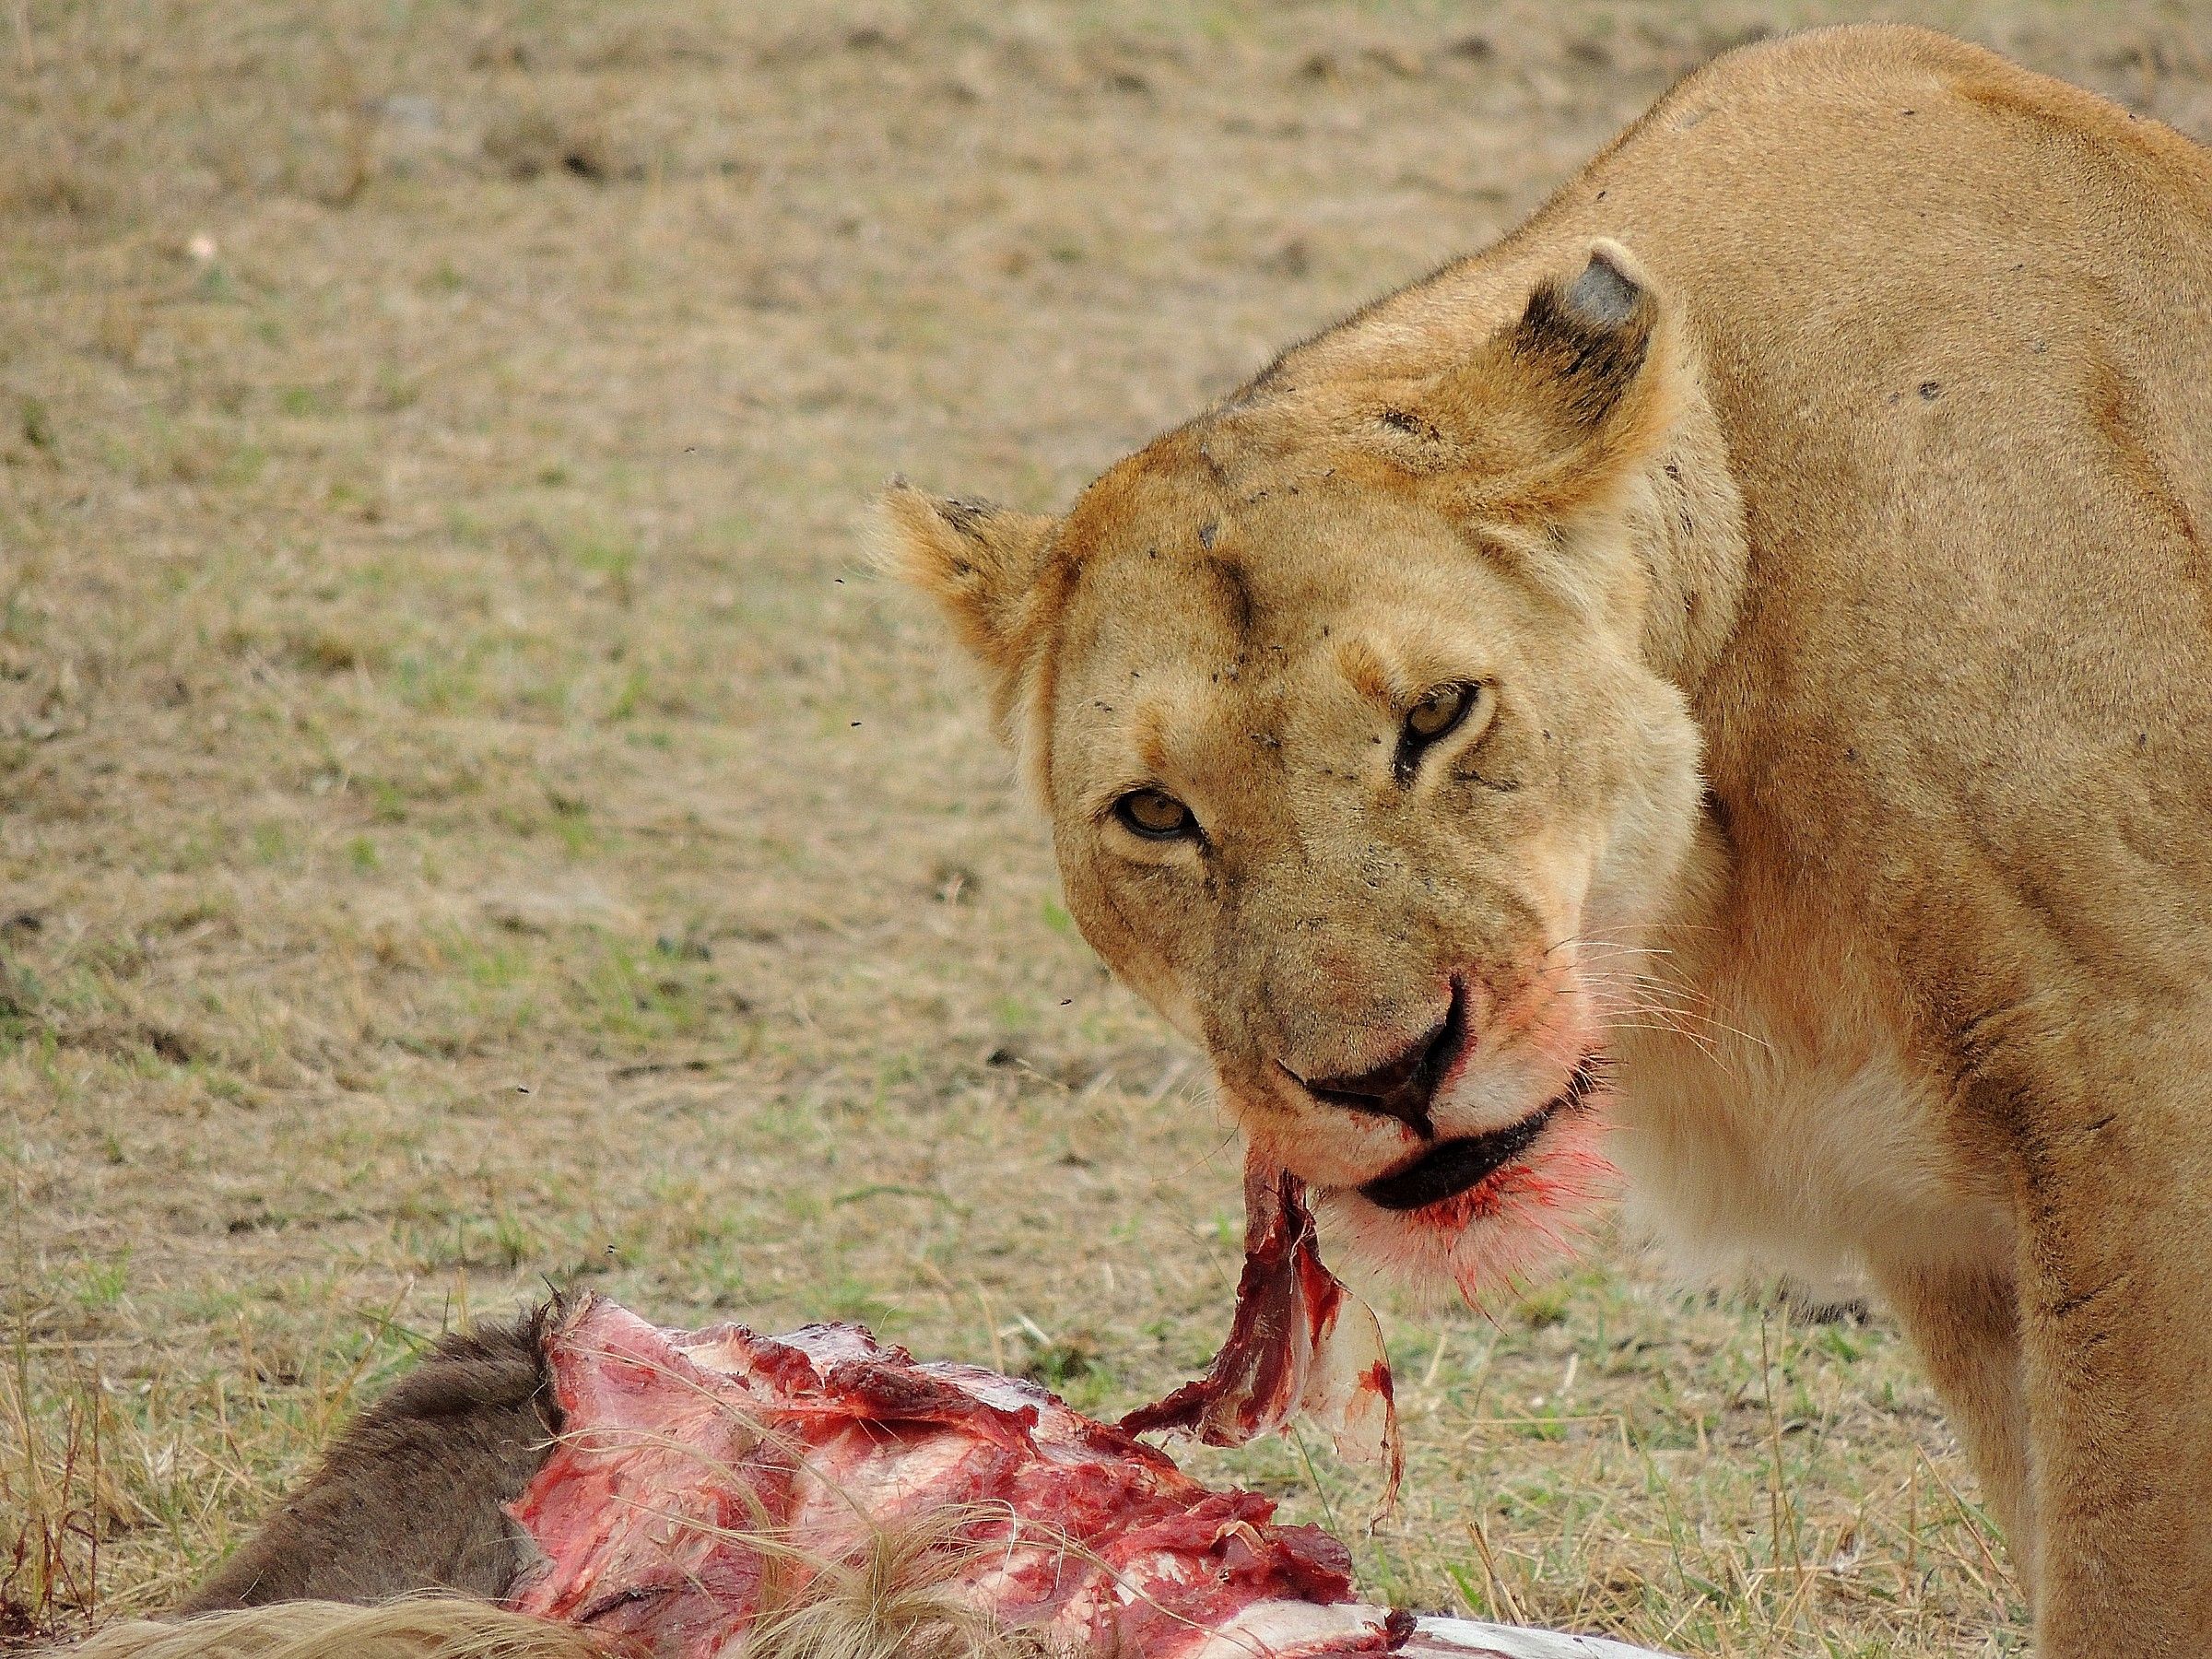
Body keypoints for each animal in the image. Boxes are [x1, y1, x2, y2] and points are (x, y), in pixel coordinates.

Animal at [884, 23, 2212, 1656]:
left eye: (1439, 713)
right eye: (1154, 814)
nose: (1385, 1075)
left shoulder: (2138, 1109)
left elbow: (2125, 1571)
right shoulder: (1959, 1248)